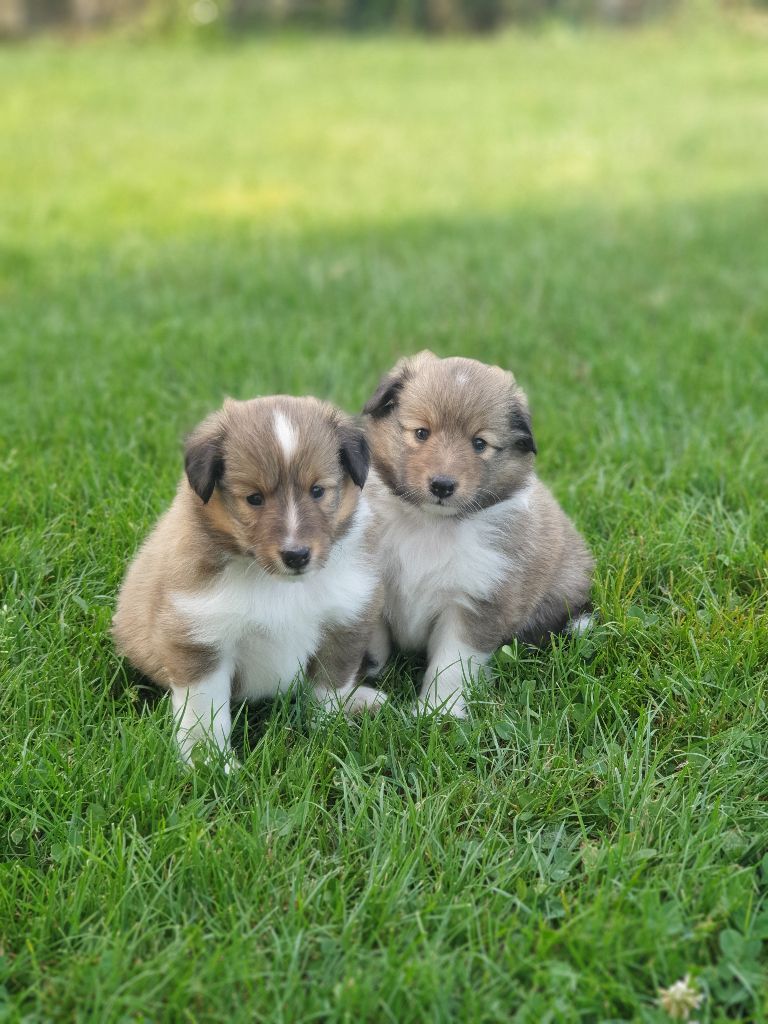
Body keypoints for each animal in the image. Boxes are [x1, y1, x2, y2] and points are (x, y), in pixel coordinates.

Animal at [111, 395, 387, 765]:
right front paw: (208, 764)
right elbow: (205, 715)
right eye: (254, 498)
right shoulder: (200, 637)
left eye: (317, 490)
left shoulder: (344, 623)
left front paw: (328, 734)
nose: (296, 555)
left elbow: (329, 690)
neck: (276, 585)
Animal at [362, 352, 593, 720]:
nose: (442, 485)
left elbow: (451, 662)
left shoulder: (477, 599)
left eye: (479, 443)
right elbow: (373, 632)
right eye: (421, 433)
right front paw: (371, 670)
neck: (430, 525)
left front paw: (437, 711)